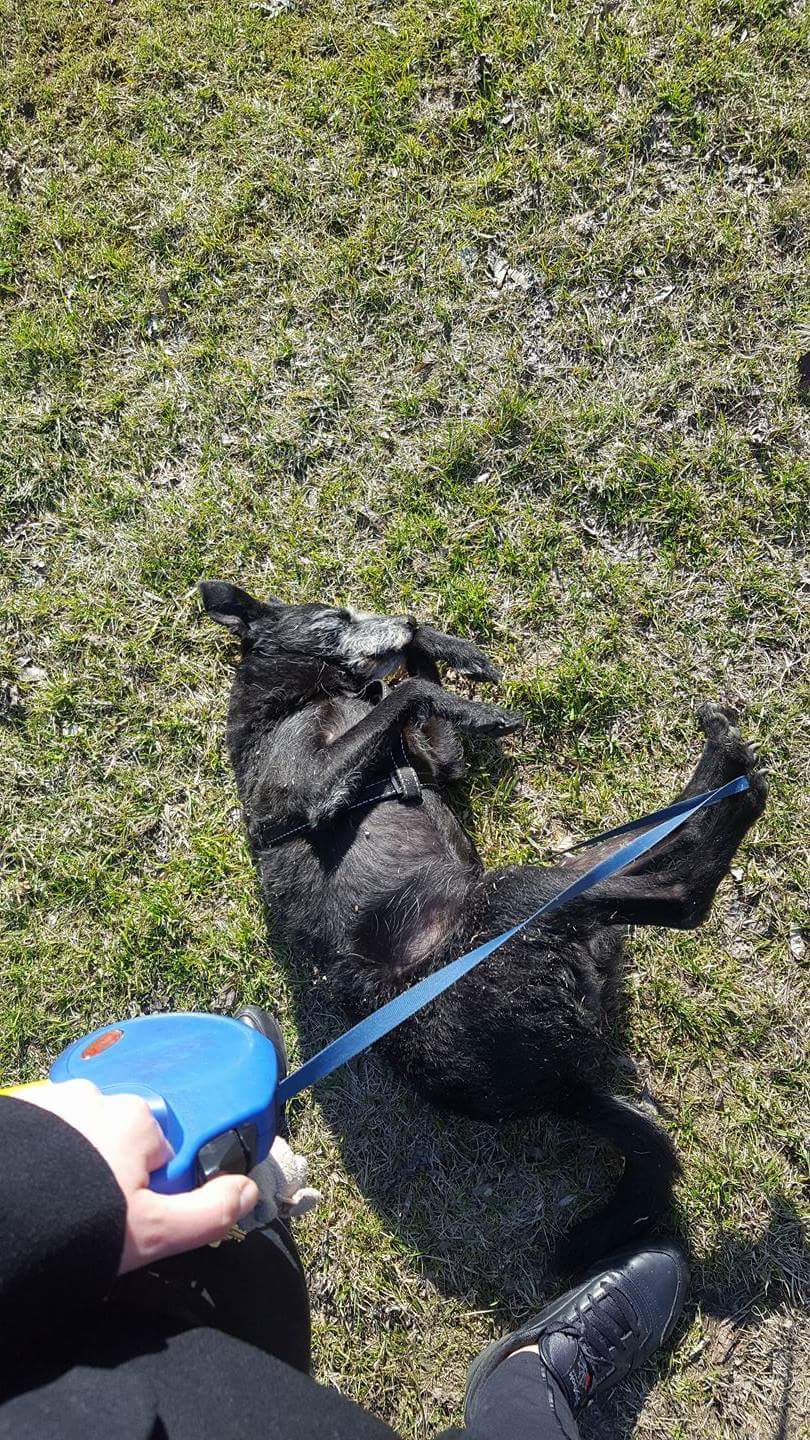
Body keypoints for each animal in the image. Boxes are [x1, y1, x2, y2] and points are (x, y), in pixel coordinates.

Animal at [201, 581, 767, 1269]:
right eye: (335, 616)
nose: (406, 617)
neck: (298, 699)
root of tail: (562, 1090)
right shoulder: (315, 787)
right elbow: (412, 694)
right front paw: (478, 703)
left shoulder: (434, 762)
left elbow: (417, 696)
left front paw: (446, 650)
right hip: (522, 895)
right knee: (683, 894)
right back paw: (732, 770)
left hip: (563, 893)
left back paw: (717, 773)